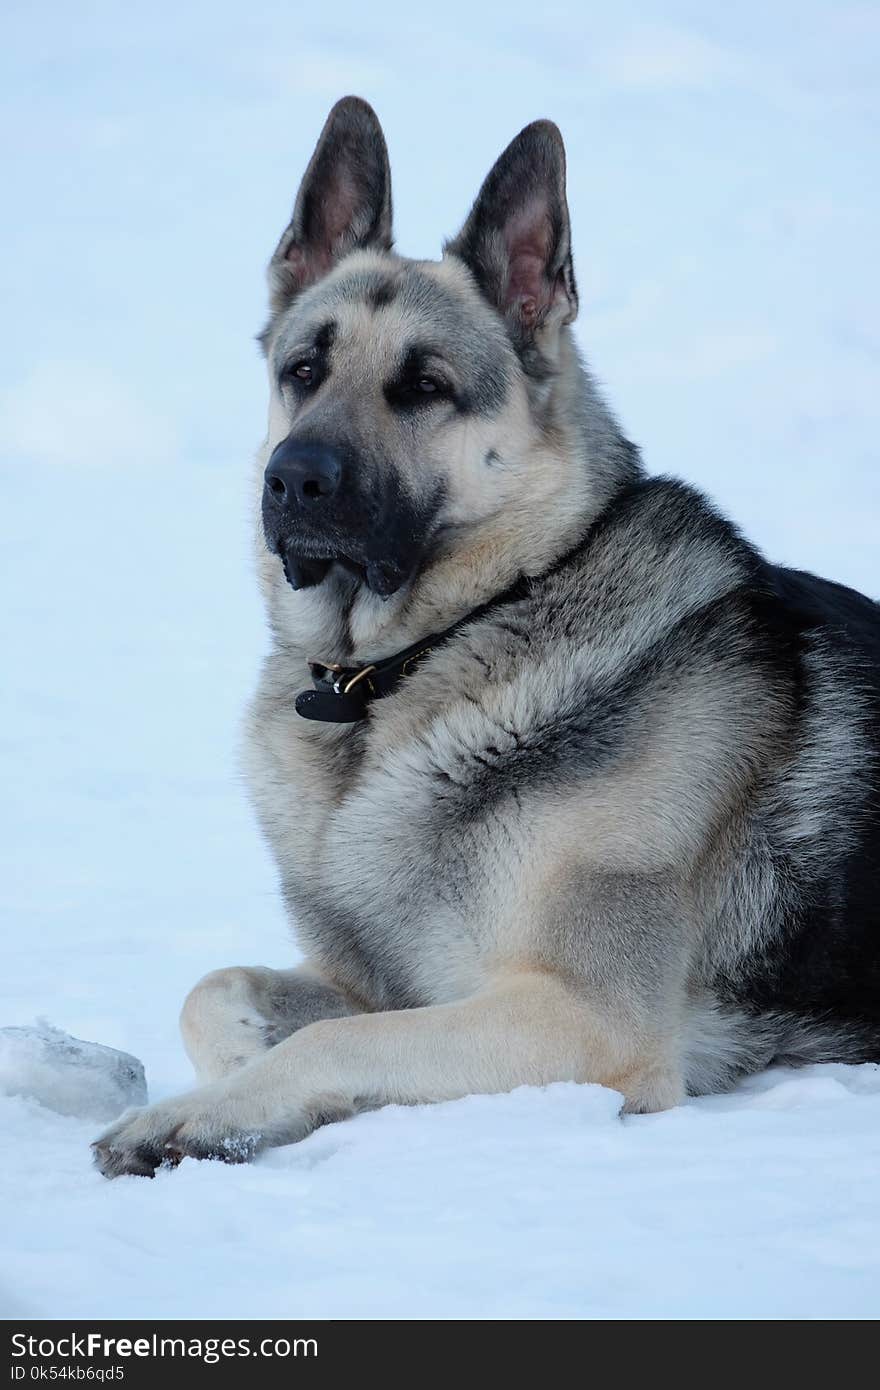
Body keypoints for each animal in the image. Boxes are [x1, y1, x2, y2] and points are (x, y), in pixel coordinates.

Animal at [92, 95, 873, 1173]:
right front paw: (242, 1085)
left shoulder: (585, 1019)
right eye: (303, 371)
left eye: (424, 387)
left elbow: (336, 1040)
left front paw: (197, 1115)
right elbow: (216, 991)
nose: (290, 481)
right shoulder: (378, 980)